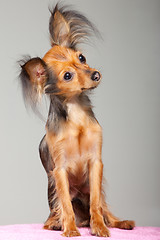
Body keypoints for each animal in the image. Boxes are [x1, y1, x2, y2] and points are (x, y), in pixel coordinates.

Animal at [19, 3, 136, 238]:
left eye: (82, 58)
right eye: (67, 76)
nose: (96, 74)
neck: (77, 117)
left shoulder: (96, 163)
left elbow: (96, 205)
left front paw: (99, 227)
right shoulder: (60, 170)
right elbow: (65, 203)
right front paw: (71, 229)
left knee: (103, 208)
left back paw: (119, 222)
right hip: (53, 192)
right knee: (57, 210)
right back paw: (57, 224)